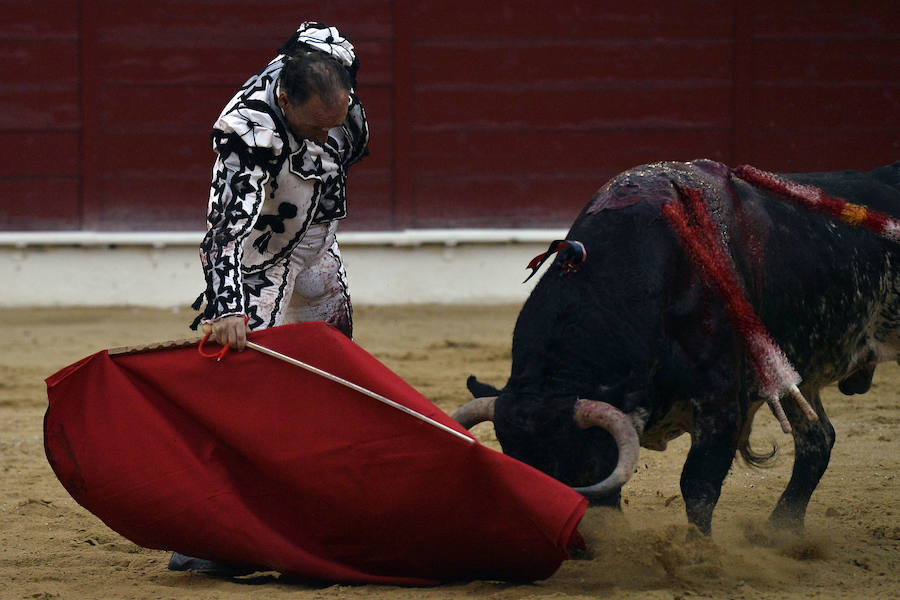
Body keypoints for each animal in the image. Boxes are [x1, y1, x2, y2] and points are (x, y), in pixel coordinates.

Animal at [458, 158, 900, 536]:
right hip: (799, 378)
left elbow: (698, 485)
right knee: (817, 440)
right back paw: (781, 531)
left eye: (584, 465)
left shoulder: (721, 406)